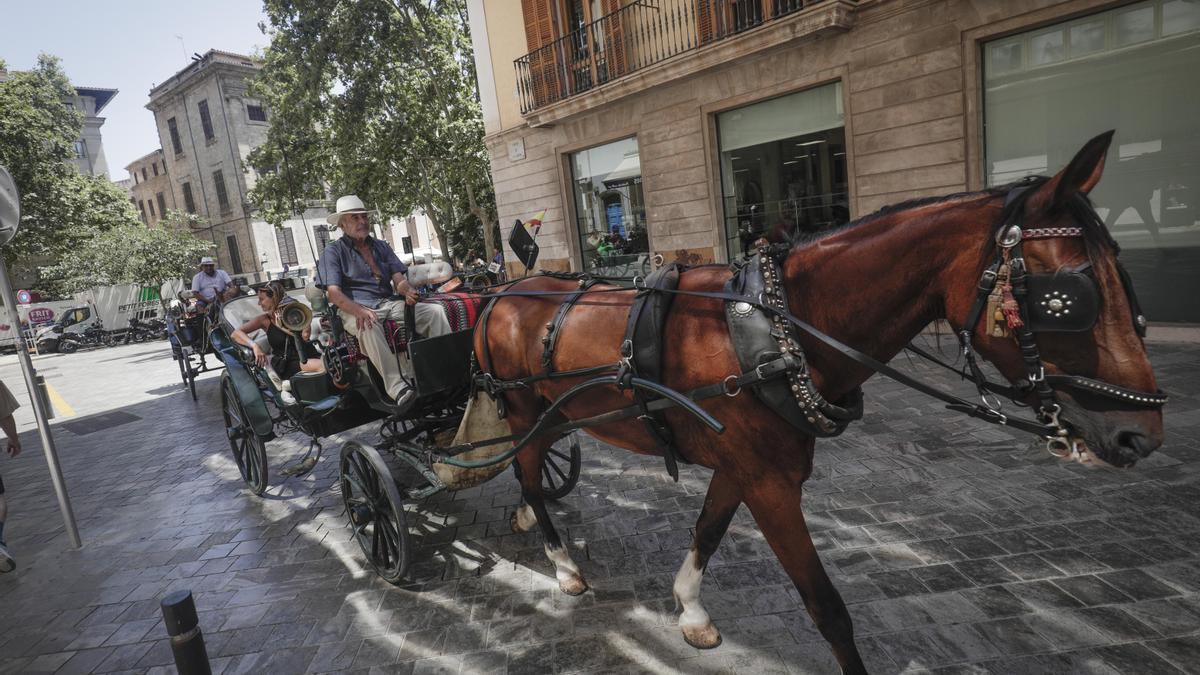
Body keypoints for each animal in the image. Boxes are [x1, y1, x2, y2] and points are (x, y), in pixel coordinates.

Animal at [475, 130, 1161, 667]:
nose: (1141, 435)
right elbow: (827, 608)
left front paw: (690, 610)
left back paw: (527, 519)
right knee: (529, 472)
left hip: (553, 414)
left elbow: (708, 530)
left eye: (1124, 277)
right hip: (523, 411)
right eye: (1066, 299)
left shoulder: (744, 468)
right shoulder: (771, 482)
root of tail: (498, 293)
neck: (781, 329)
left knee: (532, 468)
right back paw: (561, 562)